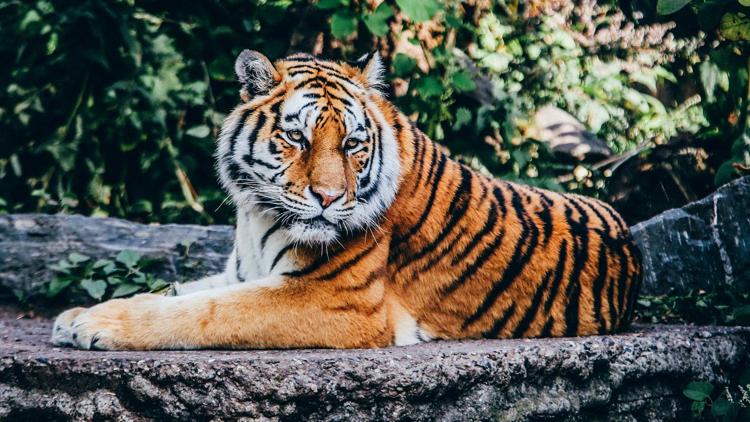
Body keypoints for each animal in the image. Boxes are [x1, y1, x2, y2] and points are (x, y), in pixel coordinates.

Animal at [51, 50, 648, 350]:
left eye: (353, 144)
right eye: (297, 137)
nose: (328, 197)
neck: (256, 215)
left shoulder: (335, 300)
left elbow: (204, 312)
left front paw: (96, 326)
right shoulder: (241, 272)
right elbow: (175, 292)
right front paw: (78, 315)